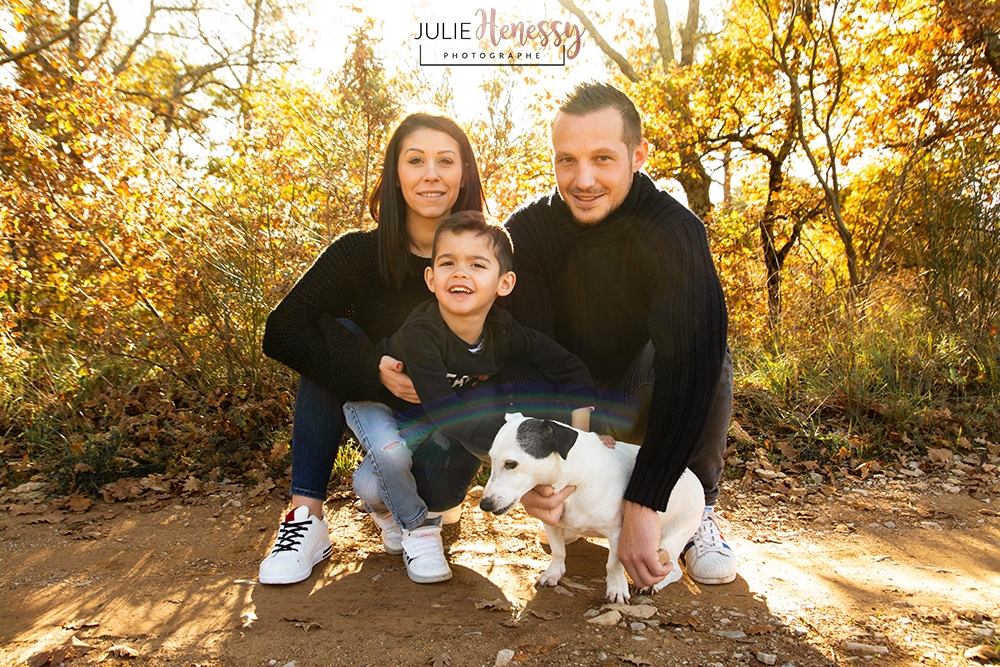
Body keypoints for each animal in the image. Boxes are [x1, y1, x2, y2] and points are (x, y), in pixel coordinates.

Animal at [478, 412, 704, 604]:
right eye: (491, 458)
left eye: (511, 464)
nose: (484, 504)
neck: (575, 480)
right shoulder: (550, 521)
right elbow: (558, 552)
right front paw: (553, 573)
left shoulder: (618, 532)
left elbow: (613, 565)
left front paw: (616, 588)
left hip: (670, 539)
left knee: (673, 569)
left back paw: (655, 583)